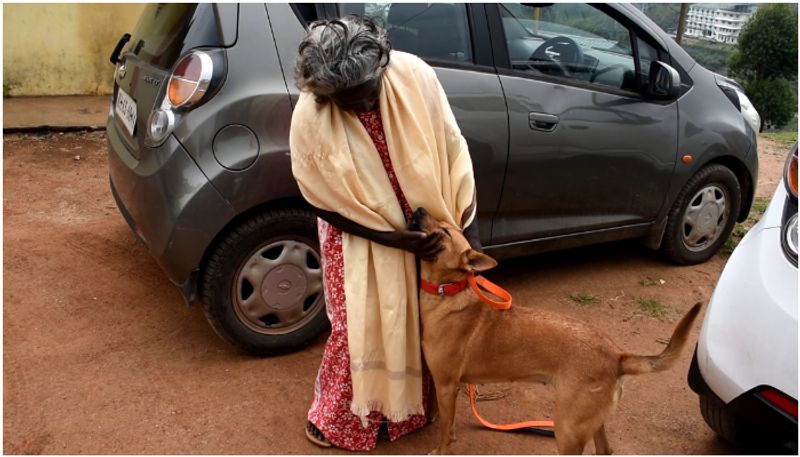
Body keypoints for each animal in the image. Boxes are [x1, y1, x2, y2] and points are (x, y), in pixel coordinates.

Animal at [412, 208, 700, 452]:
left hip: (567, 429)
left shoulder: (446, 385)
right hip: (591, 422)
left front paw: (440, 450)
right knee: (605, 450)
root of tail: (617, 356)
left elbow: (445, 431)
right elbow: (448, 427)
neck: (447, 291)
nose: (419, 210)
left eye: (445, 231)